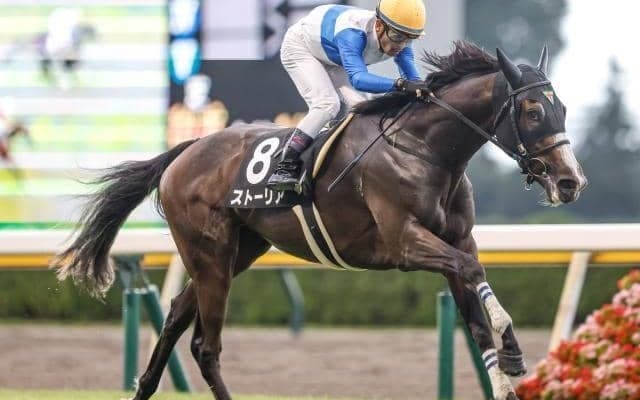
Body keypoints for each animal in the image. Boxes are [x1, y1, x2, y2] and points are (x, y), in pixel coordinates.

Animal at [54, 41, 587, 400]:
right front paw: (513, 348)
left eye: (561, 107)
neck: (426, 149)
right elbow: (475, 277)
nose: (570, 182)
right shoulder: (405, 243)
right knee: (206, 344)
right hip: (209, 255)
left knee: (175, 322)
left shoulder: (458, 242)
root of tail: (187, 151)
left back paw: (144, 386)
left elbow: (476, 316)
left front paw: (506, 362)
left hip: (235, 253)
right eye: (533, 110)